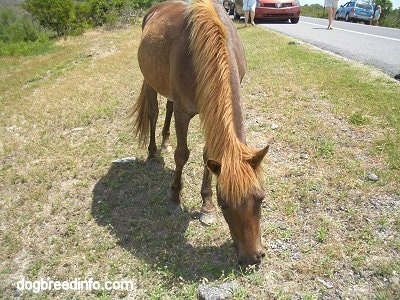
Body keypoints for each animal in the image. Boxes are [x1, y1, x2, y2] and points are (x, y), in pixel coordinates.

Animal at [134, 0, 268, 266]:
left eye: (261, 199)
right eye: (224, 204)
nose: (253, 257)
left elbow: (208, 156)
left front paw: (206, 206)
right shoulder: (184, 113)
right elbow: (182, 154)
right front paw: (175, 197)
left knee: (167, 107)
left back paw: (164, 142)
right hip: (150, 81)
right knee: (153, 113)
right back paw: (153, 153)